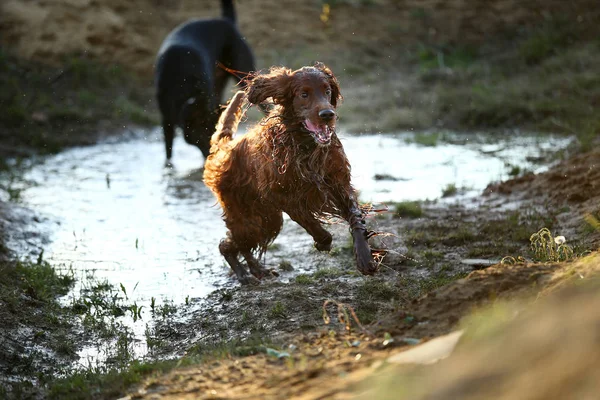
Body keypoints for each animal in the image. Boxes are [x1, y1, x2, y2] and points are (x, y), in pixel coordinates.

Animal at [154, 1, 254, 161]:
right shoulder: (166, 117)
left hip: (245, 74)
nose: (217, 155)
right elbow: (168, 150)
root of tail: (226, 21)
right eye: (204, 136)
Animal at [204, 62, 378, 284]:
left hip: (267, 219)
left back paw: (257, 270)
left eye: (327, 91)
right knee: (228, 245)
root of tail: (224, 149)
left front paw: (365, 258)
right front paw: (323, 241)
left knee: (239, 244)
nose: (327, 114)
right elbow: (308, 219)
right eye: (304, 94)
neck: (306, 146)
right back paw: (244, 274)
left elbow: (355, 217)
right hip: (248, 216)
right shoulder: (281, 194)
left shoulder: (339, 184)